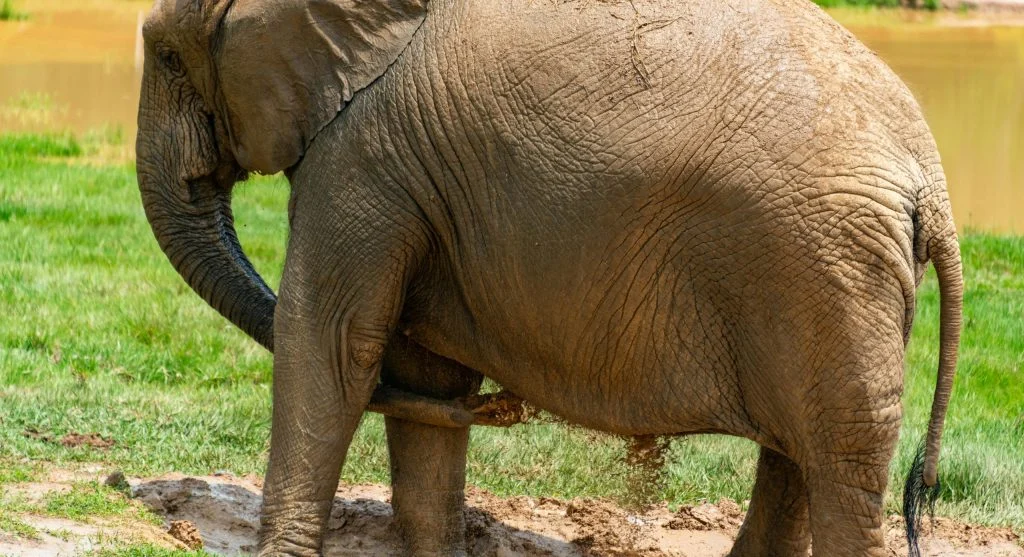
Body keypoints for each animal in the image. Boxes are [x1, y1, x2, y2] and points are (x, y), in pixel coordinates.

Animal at [135, 0, 963, 555]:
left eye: (168, 54)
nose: (509, 404)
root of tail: (932, 181)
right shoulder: (417, 173)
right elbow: (423, 368)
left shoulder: (365, 148)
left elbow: (332, 340)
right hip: (819, 278)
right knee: (798, 453)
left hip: (825, 271)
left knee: (839, 464)